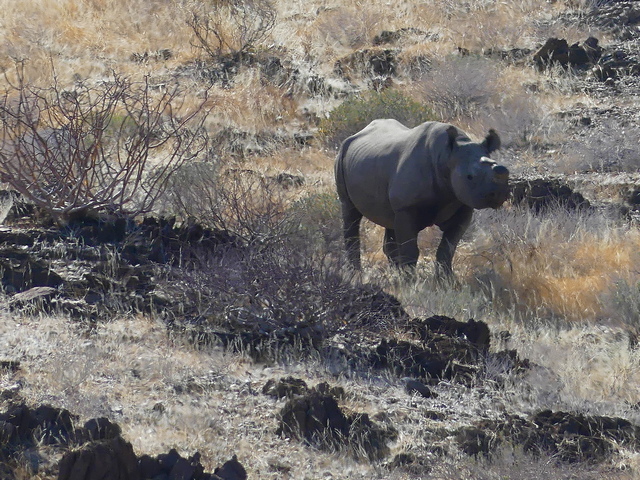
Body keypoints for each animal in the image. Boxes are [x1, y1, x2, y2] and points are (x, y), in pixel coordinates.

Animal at [334, 119, 509, 277]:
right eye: (470, 177)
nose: (498, 194)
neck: (446, 157)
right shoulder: (406, 209)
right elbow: (410, 251)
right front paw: (411, 283)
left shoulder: (462, 206)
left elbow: (448, 248)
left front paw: (446, 281)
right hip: (341, 156)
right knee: (350, 212)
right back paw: (357, 275)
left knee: (389, 221)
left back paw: (395, 276)